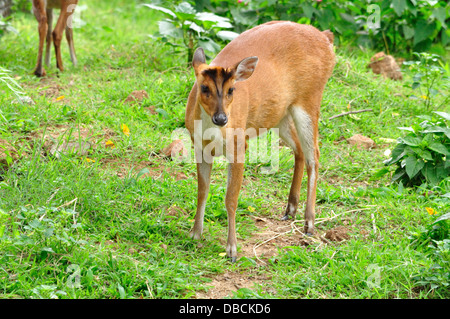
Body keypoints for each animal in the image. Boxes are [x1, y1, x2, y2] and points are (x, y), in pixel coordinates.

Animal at [185, 21, 336, 262]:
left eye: (231, 90)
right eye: (204, 88)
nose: (221, 118)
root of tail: (325, 37)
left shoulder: (239, 146)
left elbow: (231, 198)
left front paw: (232, 250)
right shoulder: (199, 147)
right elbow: (202, 190)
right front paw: (195, 234)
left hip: (309, 99)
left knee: (314, 155)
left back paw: (309, 223)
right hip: (279, 114)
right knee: (300, 150)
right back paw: (290, 209)